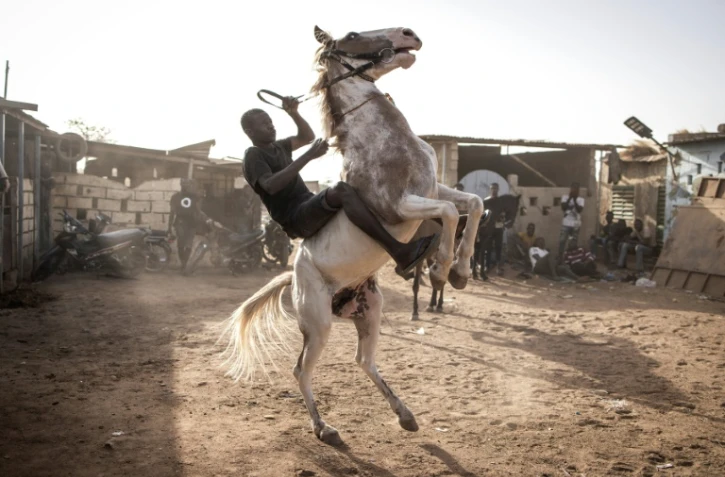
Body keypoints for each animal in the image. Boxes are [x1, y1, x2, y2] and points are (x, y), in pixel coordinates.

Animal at [220, 26, 484, 446]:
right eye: (354, 34)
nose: (410, 35)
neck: (385, 141)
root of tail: (292, 275)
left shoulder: (432, 188)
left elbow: (473, 204)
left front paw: (460, 273)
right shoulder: (397, 205)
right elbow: (446, 214)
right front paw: (441, 268)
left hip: (370, 309)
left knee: (364, 360)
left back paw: (405, 415)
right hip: (318, 326)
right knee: (301, 370)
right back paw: (324, 428)